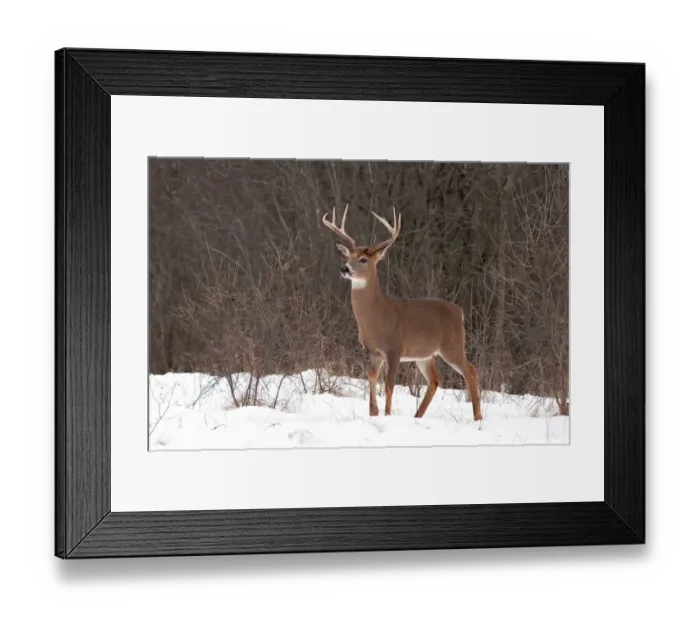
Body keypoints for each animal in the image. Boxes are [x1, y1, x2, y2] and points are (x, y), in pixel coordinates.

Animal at [322, 205, 482, 422]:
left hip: (452, 345)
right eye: (348, 257)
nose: (344, 268)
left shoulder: (395, 348)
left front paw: (387, 415)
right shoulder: (373, 351)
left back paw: (478, 417)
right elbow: (371, 377)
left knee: (471, 371)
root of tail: (460, 312)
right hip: (424, 354)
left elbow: (389, 386)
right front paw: (373, 413)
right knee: (435, 380)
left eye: (363, 259)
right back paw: (417, 416)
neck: (376, 316)